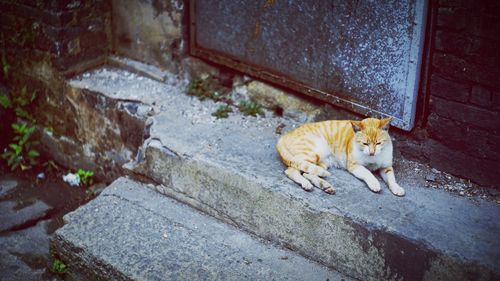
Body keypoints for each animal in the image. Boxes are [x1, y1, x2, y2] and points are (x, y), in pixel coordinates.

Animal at [278, 117, 406, 196]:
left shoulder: (386, 167)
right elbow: (367, 173)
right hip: (312, 154)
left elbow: (391, 179)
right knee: (291, 171)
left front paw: (397, 188)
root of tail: (285, 135)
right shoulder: (354, 165)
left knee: (308, 173)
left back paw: (325, 186)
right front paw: (374, 183)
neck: (372, 158)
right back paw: (306, 184)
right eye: (365, 143)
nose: (372, 152)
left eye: (378, 143)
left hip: (321, 163)